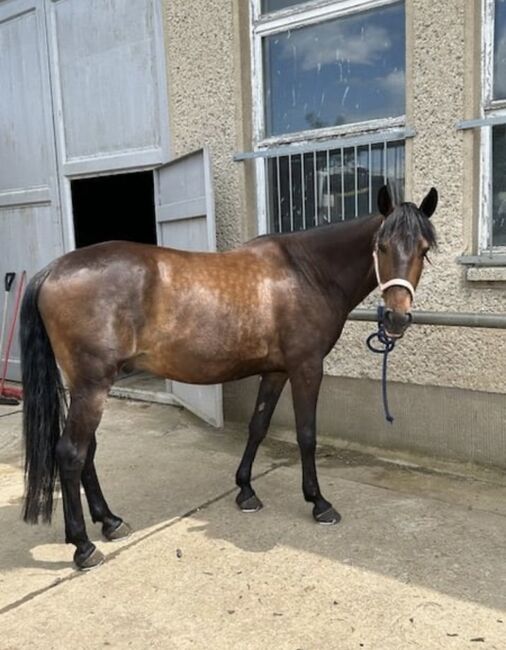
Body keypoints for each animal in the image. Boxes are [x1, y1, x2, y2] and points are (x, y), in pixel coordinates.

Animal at [19, 184, 436, 568]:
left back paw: (109, 522)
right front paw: (318, 502)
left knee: (87, 452)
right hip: (93, 386)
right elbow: (306, 436)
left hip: (86, 387)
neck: (307, 272)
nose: (397, 318)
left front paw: (246, 491)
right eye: (382, 246)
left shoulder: (275, 371)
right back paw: (83, 546)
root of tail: (52, 270)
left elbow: (258, 426)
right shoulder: (306, 368)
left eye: (423, 250)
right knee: (71, 454)